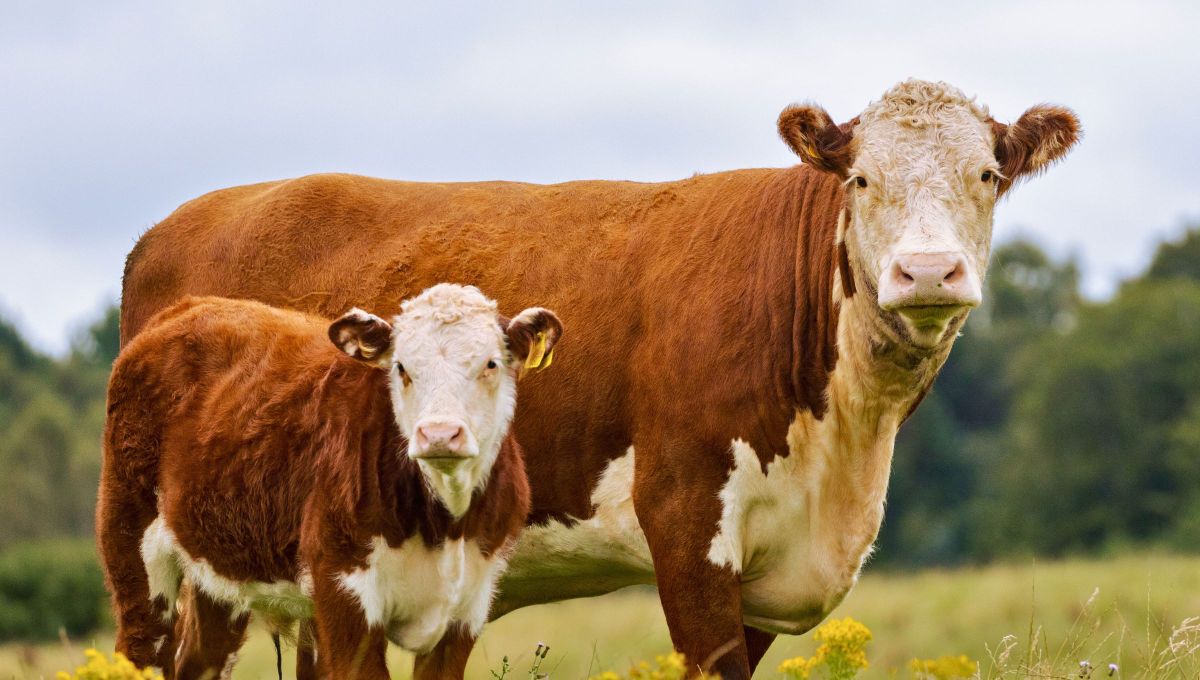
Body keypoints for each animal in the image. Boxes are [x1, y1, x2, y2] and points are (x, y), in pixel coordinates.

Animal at [96, 285, 563, 679]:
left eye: (490, 363)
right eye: (401, 367)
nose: (439, 434)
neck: (443, 523)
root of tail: (188, 307)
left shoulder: (467, 606)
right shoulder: (343, 588)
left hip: (219, 571)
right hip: (132, 546)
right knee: (140, 650)